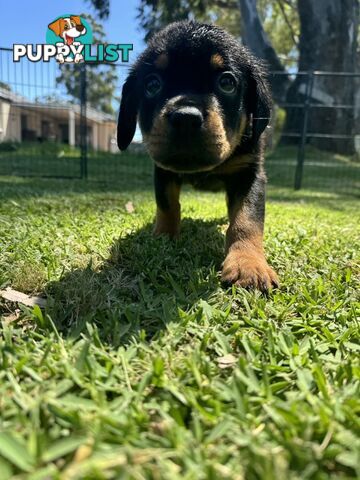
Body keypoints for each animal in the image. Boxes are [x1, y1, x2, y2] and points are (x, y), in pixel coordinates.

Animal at [117, 20, 278, 290]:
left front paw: (248, 263)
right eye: (152, 85)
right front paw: (163, 238)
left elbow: (247, 219)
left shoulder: (250, 174)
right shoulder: (163, 171)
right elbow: (167, 205)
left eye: (227, 83)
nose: (185, 118)